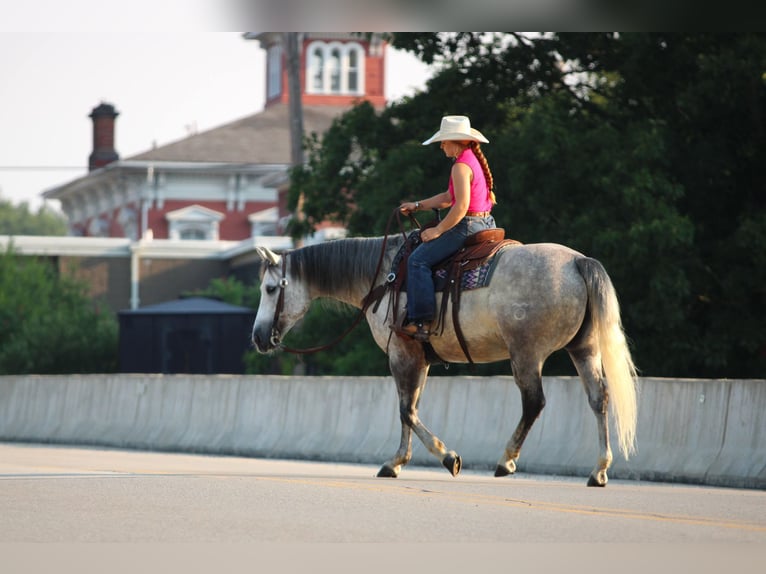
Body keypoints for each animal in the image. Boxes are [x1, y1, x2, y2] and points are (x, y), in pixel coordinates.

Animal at [251, 233, 638, 487]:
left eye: (270, 289)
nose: (257, 337)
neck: (385, 278)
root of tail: (577, 262)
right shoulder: (419, 360)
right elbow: (409, 409)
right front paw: (397, 463)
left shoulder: (401, 353)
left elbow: (406, 410)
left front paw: (447, 456)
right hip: (584, 349)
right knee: (598, 399)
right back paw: (599, 470)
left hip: (526, 354)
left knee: (534, 402)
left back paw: (506, 461)